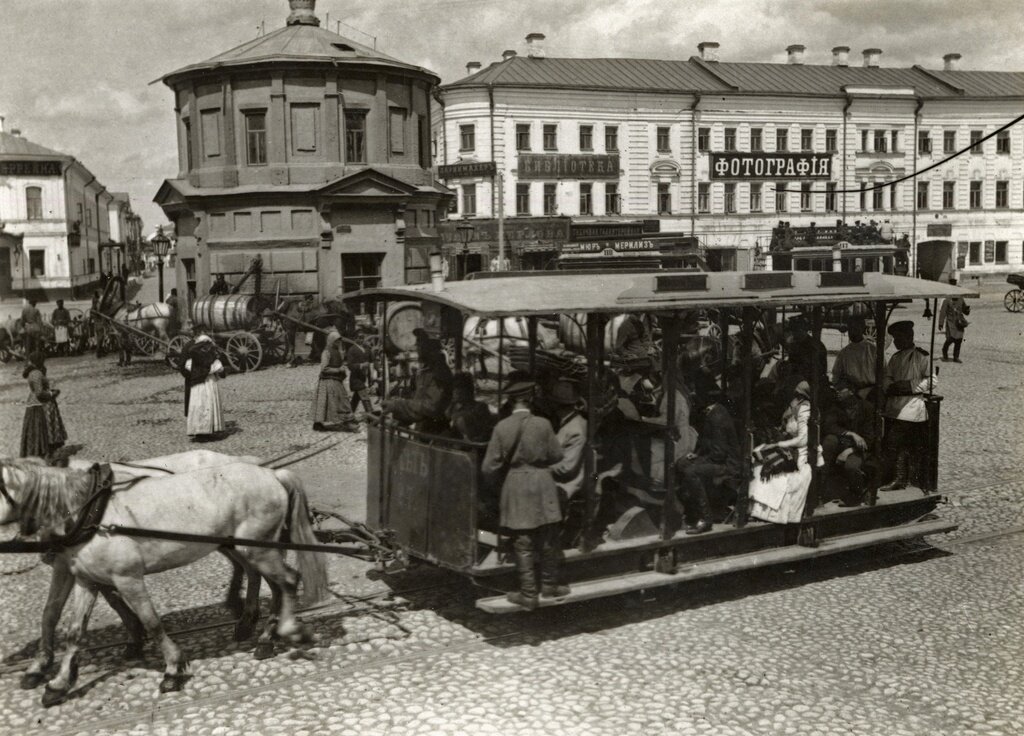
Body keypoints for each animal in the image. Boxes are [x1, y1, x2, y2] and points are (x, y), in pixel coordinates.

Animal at [0, 458, 327, 704]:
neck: (90, 513)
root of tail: (272, 474)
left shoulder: (128, 578)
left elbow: (152, 622)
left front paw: (172, 669)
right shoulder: (85, 580)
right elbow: (72, 631)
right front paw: (58, 682)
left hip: (258, 548)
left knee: (288, 580)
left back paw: (283, 631)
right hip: (249, 547)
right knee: (274, 582)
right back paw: (262, 633)